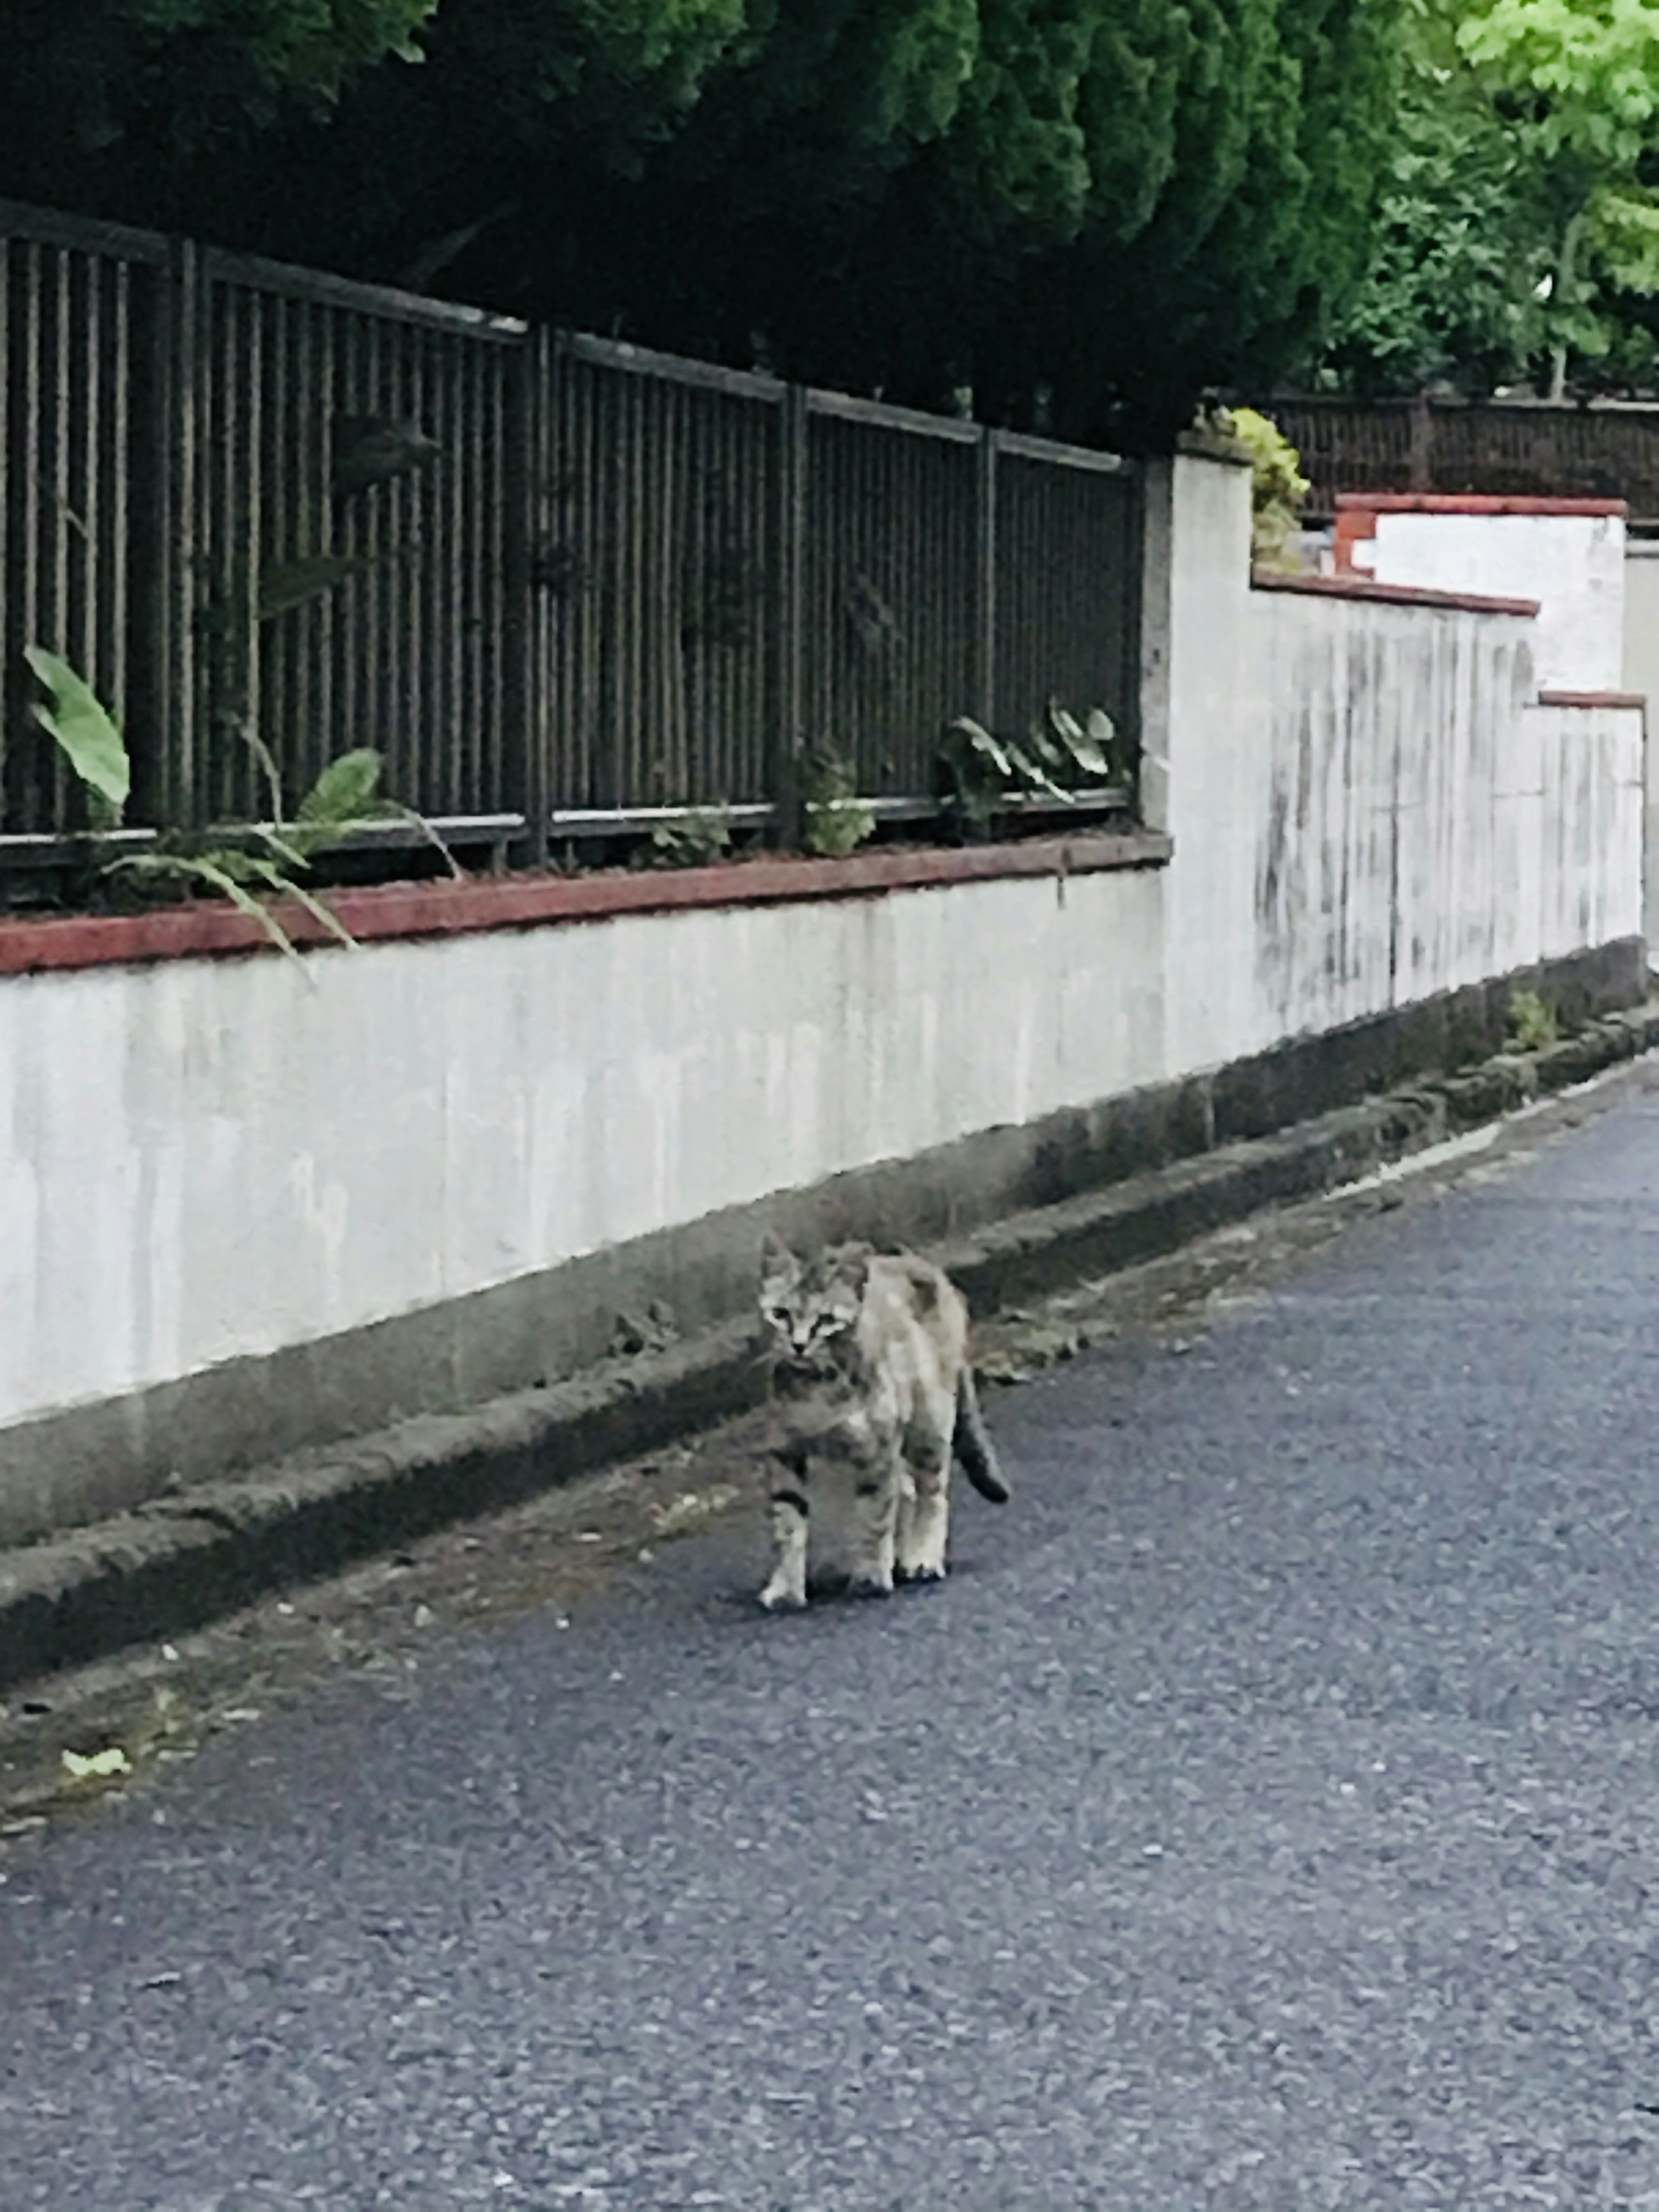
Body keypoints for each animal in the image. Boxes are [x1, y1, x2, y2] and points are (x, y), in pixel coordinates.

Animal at [756, 1230, 1013, 1610]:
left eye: (826, 1320)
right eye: (780, 1314)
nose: (799, 1345)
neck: (817, 1389)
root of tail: (923, 1265)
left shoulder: (876, 1451)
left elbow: (875, 1517)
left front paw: (870, 1574)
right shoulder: (785, 1450)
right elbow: (789, 1522)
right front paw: (787, 1586)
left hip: (929, 1420)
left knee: (931, 1493)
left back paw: (922, 1556)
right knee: (907, 1489)